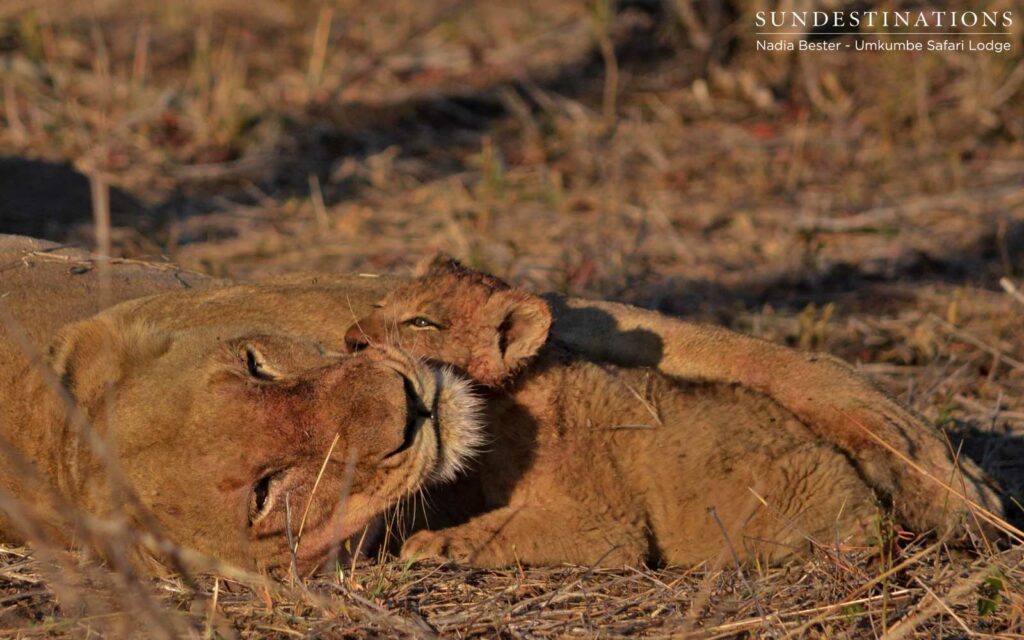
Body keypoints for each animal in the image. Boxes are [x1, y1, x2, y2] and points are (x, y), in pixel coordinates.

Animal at [344, 255, 1002, 565]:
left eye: (420, 323)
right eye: (383, 306)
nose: (351, 341)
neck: (505, 401)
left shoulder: (605, 528)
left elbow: (500, 530)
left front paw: (429, 545)